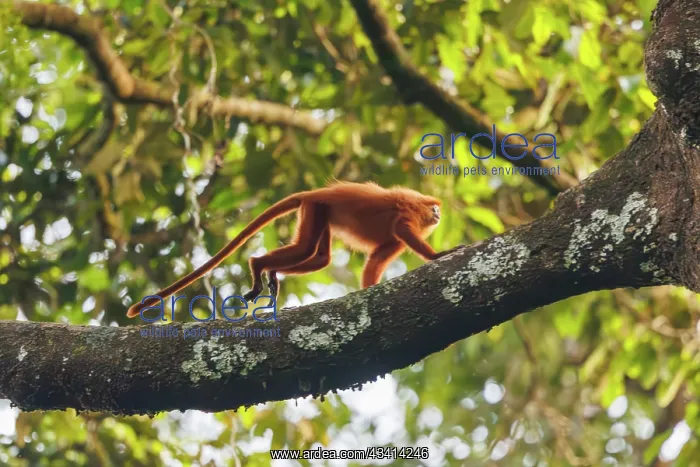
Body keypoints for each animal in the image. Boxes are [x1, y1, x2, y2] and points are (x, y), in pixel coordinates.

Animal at [126, 181, 453, 318]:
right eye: (435, 208)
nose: (439, 214)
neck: (421, 208)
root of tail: (315, 192)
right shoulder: (408, 211)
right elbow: (401, 230)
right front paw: (438, 256)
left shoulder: (394, 239)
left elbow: (375, 260)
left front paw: (369, 290)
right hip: (316, 206)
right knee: (308, 249)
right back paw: (258, 265)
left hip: (319, 211)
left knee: (319, 257)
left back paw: (271, 271)